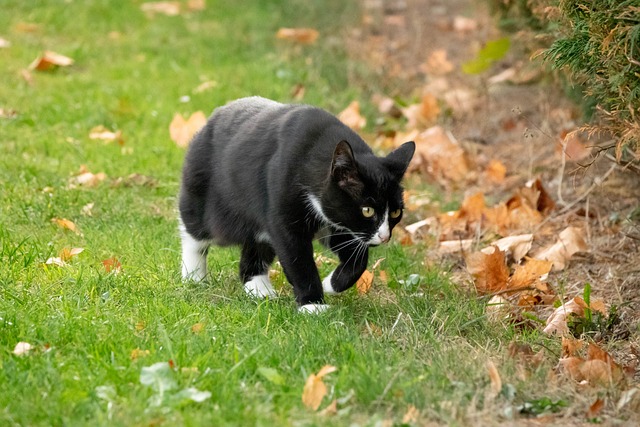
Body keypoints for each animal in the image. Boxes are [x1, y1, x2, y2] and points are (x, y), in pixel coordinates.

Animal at [178, 98, 412, 316]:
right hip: (203, 190)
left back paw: (260, 290)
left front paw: (331, 284)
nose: (384, 236)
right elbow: (297, 258)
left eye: (395, 212)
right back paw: (194, 276)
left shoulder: (338, 221)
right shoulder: (285, 212)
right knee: (195, 231)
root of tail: (215, 115)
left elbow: (357, 258)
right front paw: (312, 305)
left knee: (257, 244)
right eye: (367, 210)